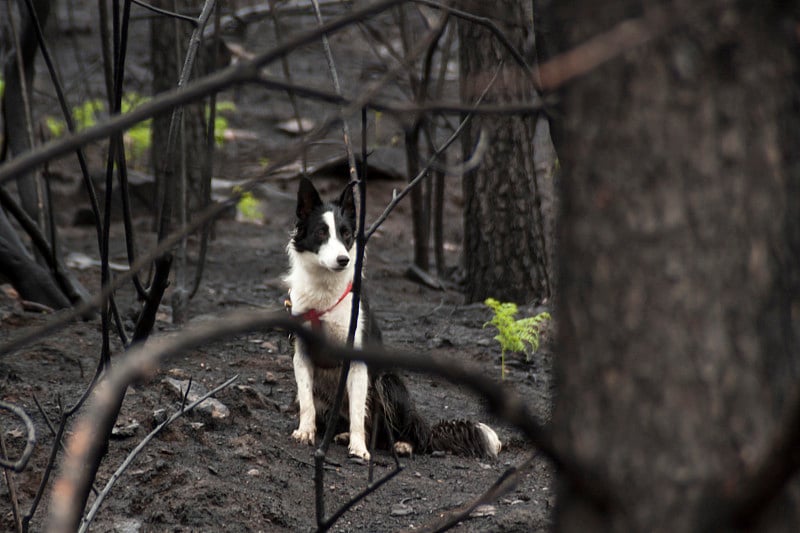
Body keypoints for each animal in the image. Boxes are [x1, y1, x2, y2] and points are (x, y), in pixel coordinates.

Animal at [286, 177, 500, 460]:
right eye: (321, 232)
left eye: (346, 234)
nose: (343, 260)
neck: (325, 292)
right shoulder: (301, 354)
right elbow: (307, 402)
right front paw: (305, 432)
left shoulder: (357, 361)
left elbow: (357, 412)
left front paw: (359, 448)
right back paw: (343, 435)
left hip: (387, 382)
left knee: (406, 434)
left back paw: (401, 444)